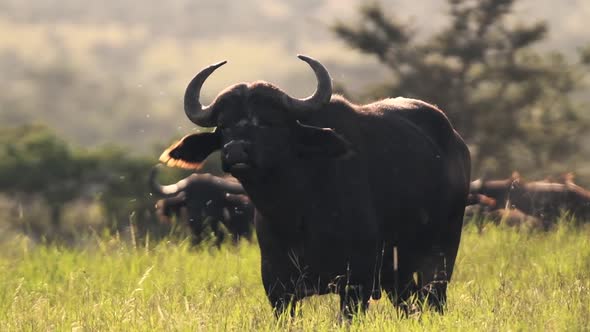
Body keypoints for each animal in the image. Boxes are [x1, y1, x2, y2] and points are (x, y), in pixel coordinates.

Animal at [158, 55, 472, 318]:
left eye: (269, 122)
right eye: (224, 125)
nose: (235, 152)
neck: (295, 211)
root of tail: (457, 142)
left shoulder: (356, 282)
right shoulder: (278, 287)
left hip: (442, 252)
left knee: (435, 298)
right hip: (399, 272)